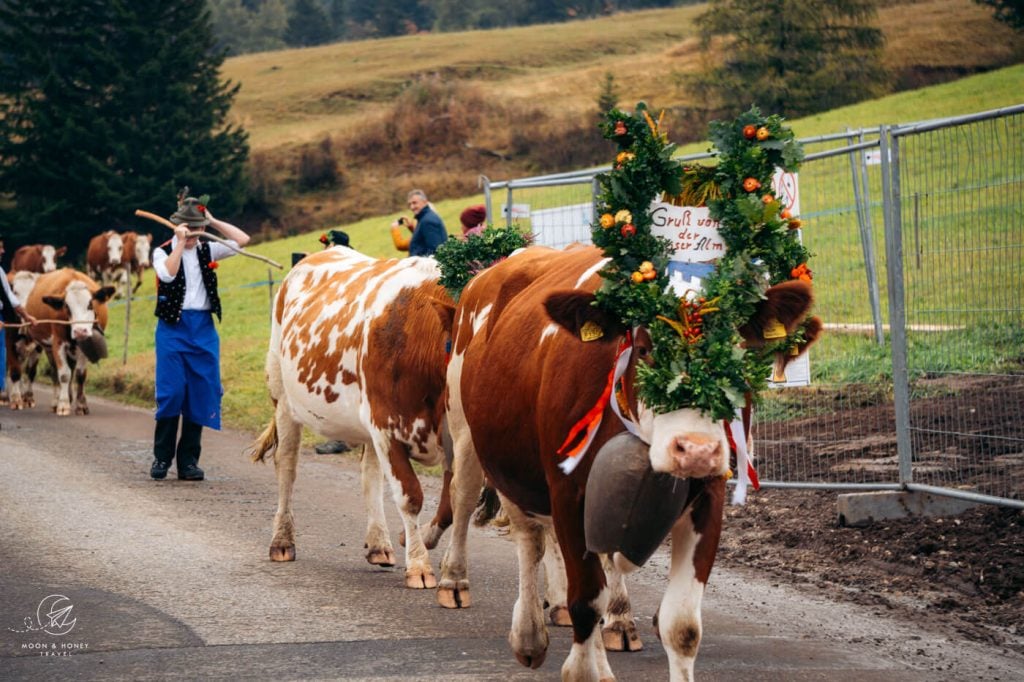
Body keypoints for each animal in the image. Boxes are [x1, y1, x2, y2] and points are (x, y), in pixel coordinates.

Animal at [2, 270, 41, 409]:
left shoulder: (37, 347)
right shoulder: (9, 343)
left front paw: (28, 397)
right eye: (15, 292)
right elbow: (15, 371)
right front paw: (16, 399)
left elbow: (31, 372)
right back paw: (4, 396)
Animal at [22, 266, 115, 413]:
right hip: (35, 342)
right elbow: (64, 374)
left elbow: (80, 375)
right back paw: (32, 398)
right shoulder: (58, 343)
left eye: (90, 304)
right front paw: (63, 404)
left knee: (57, 371)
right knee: (33, 369)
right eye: (67, 306)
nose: (80, 331)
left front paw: (81, 404)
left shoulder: (84, 345)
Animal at [247, 246, 456, 585]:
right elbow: (410, 496)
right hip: (282, 397)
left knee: (369, 473)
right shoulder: (385, 428)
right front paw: (419, 565)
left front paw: (417, 538)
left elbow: (450, 503)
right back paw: (282, 541)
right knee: (286, 466)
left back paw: (379, 544)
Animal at [436, 103, 819, 675]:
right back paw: (484, 601)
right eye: (643, 344)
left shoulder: (707, 497)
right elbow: (584, 598)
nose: (695, 450)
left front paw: (625, 626)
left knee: (547, 542)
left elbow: (681, 625)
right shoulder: (569, 489)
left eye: (736, 348)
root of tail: (504, 265)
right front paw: (585, 661)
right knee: (497, 518)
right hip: (473, 437)